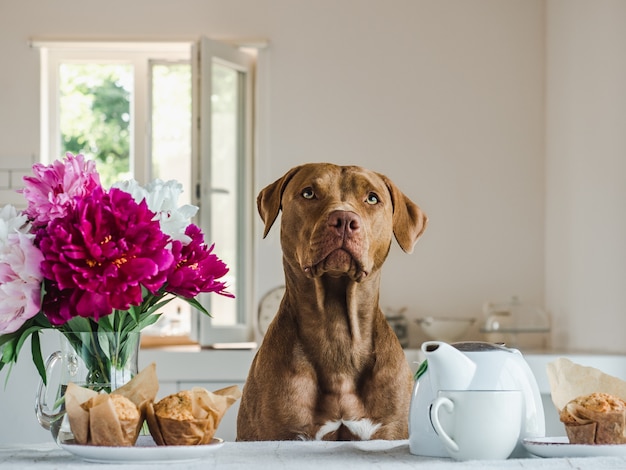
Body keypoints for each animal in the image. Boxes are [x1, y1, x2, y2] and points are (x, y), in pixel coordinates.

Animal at [236, 162, 426, 440]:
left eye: (372, 198)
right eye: (308, 193)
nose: (345, 220)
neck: (337, 330)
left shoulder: (389, 429)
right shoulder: (275, 431)